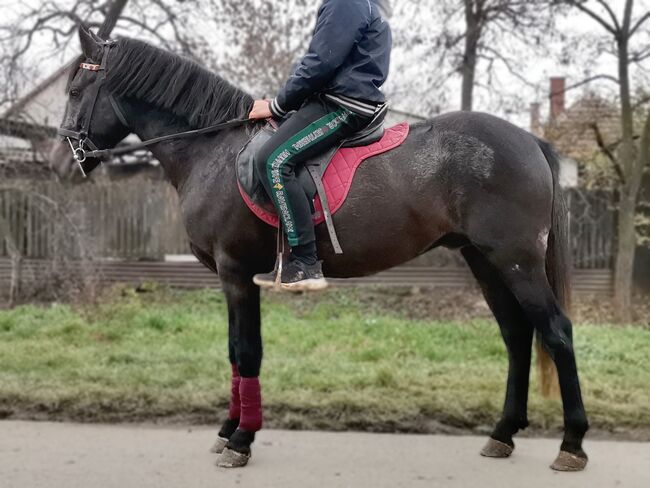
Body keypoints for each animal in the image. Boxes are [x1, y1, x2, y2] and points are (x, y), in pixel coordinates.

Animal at [57, 28, 588, 470]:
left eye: (77, 91)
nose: (65, 155)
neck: (215, 152)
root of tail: (530, 142)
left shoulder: (236, 273)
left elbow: (247, 352)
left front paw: (242, 440)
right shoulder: (232, 279)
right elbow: (233, 352)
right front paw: (229, 429)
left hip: (516, 261)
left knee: (556, 332)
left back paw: (572, 444)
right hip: (485, 261)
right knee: (517, 336)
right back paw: (503, 433)